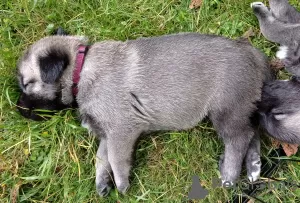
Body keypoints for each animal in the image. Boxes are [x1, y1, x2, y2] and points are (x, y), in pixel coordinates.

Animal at [17, 33, 274, 195]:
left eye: (26, 83)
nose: (18, 108)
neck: (81, 69)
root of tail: (252, 52)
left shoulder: (120, 132)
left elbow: (115, 159)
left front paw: (121, 184)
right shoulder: (107, 135)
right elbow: (101, 158)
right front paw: (102, 182)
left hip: (227, 110)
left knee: (237, 140)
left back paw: (229, 176)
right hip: (243, 107)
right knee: (251, 134)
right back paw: (253, 167)